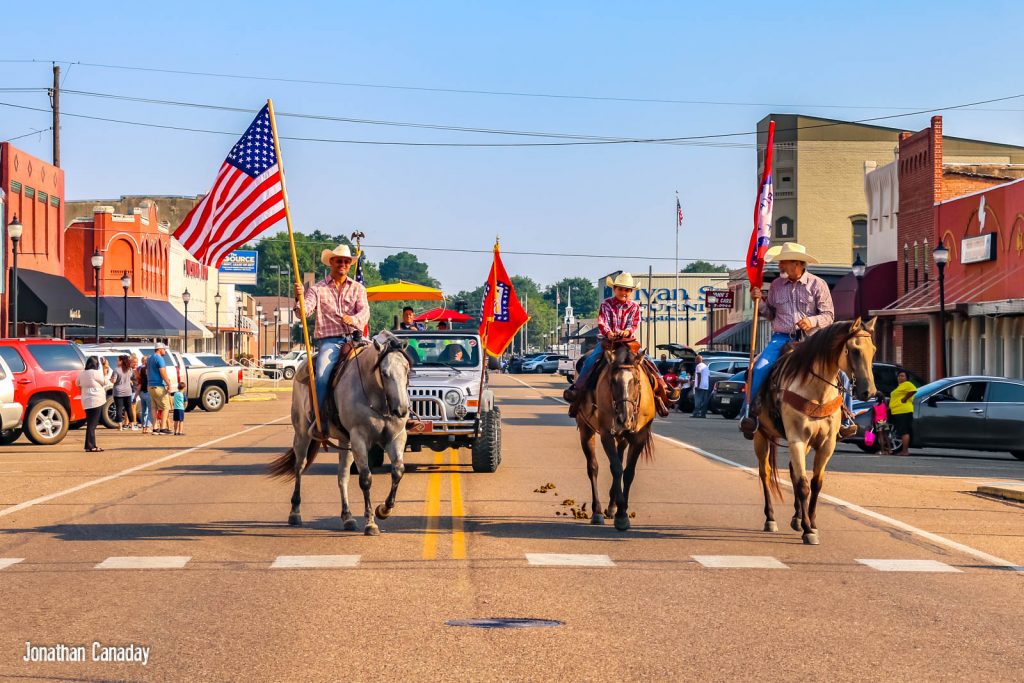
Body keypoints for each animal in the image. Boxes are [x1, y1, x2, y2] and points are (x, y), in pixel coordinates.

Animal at [268, 333, 411, 536]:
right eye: (384, 373)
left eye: (406, 369)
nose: (402, 410)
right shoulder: (359, 439)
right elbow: (365, 479)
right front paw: (370, 523)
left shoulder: (396, 437)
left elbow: (398, 471)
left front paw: (384, 510)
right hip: (302, 433)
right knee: (299, 466)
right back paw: (295, 513)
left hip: (345, 442)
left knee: (342, 476)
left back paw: (347, 517)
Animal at [577, 344, 655, 532]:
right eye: (612, 381)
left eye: (636, 381)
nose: (623, 418)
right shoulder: (606, 434)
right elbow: (617, 469)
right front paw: (621, 515)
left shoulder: (639, 437)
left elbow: (628, 472)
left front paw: (621, 510)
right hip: (585, 429)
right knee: (593, 468)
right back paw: (597, 511)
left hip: (622, 437)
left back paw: (611, 507)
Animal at [753, 319, 880, 544]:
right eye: (855, 350)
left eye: (873, 350)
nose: (869, 392)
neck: (817, 392)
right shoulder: (797, 439)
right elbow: (803, 484)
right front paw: (808, 530)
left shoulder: (826, 444)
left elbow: (815, 483)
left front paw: (810, 522)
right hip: (761, 436)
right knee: (765, 473)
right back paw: (771, 519)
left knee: (792, 470)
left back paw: (796, 518)